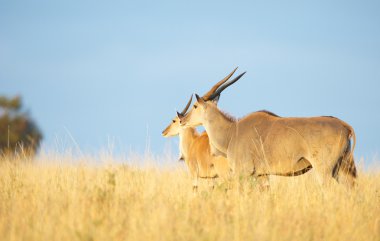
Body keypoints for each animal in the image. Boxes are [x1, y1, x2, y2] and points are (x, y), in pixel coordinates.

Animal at [180, 70, 358, 189]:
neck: (232, 131)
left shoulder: (243, 173)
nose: (182, 119)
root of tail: (344, 126)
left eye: (195, 106)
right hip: (341, 168)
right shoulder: (262, 175)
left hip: (324, 170)